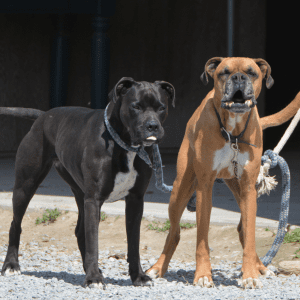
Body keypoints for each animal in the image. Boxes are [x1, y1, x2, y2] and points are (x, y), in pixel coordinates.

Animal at [0, 77, 175, 288]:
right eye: (136, 106)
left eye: (161, 107)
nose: (153, 126)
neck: (125, 144)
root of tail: (44, 116)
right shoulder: (94, 200)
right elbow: (94, 243)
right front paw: (93, 279)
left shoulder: (135, 200)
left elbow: (133, 244)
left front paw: (138, 276)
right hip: (25, 185)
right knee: (15, 224)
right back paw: (11, 265)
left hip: (79, 193)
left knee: (79, 231)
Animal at [146, 56, 300, 288]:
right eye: (224, 72)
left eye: (251, 72)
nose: (238, 77)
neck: (233, 131)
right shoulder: (204, 187)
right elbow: (202, 238)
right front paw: (203, 275)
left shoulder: (248, 188)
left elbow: (250, 236)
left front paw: (250, 274)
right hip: (179, 191)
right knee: (174, 232)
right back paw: (157, 268)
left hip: (242, 193)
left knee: (244, 230)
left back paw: (260, 267)